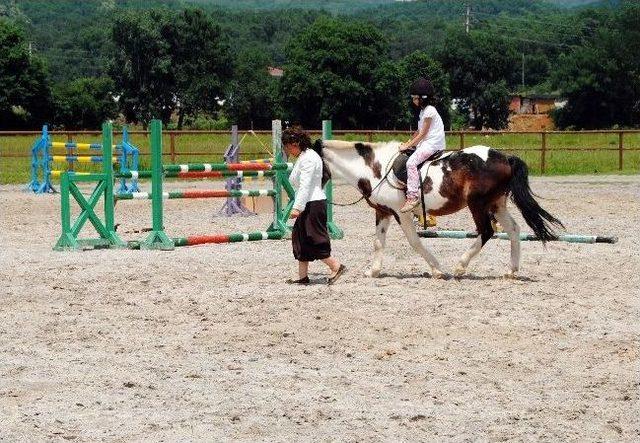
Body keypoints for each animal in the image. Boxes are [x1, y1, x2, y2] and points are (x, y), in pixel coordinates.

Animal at [312, 140, 564, 280]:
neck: (376, 169)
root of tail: (505, 157)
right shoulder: (383, 212)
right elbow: (378, 242)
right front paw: (373, 272)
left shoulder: (401, 213)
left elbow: (414, 242)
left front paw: (437, 270)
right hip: (496, 204)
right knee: (513, 230)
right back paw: (511, 271)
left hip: (478, 204)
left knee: (486, 231)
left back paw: (460, 267)